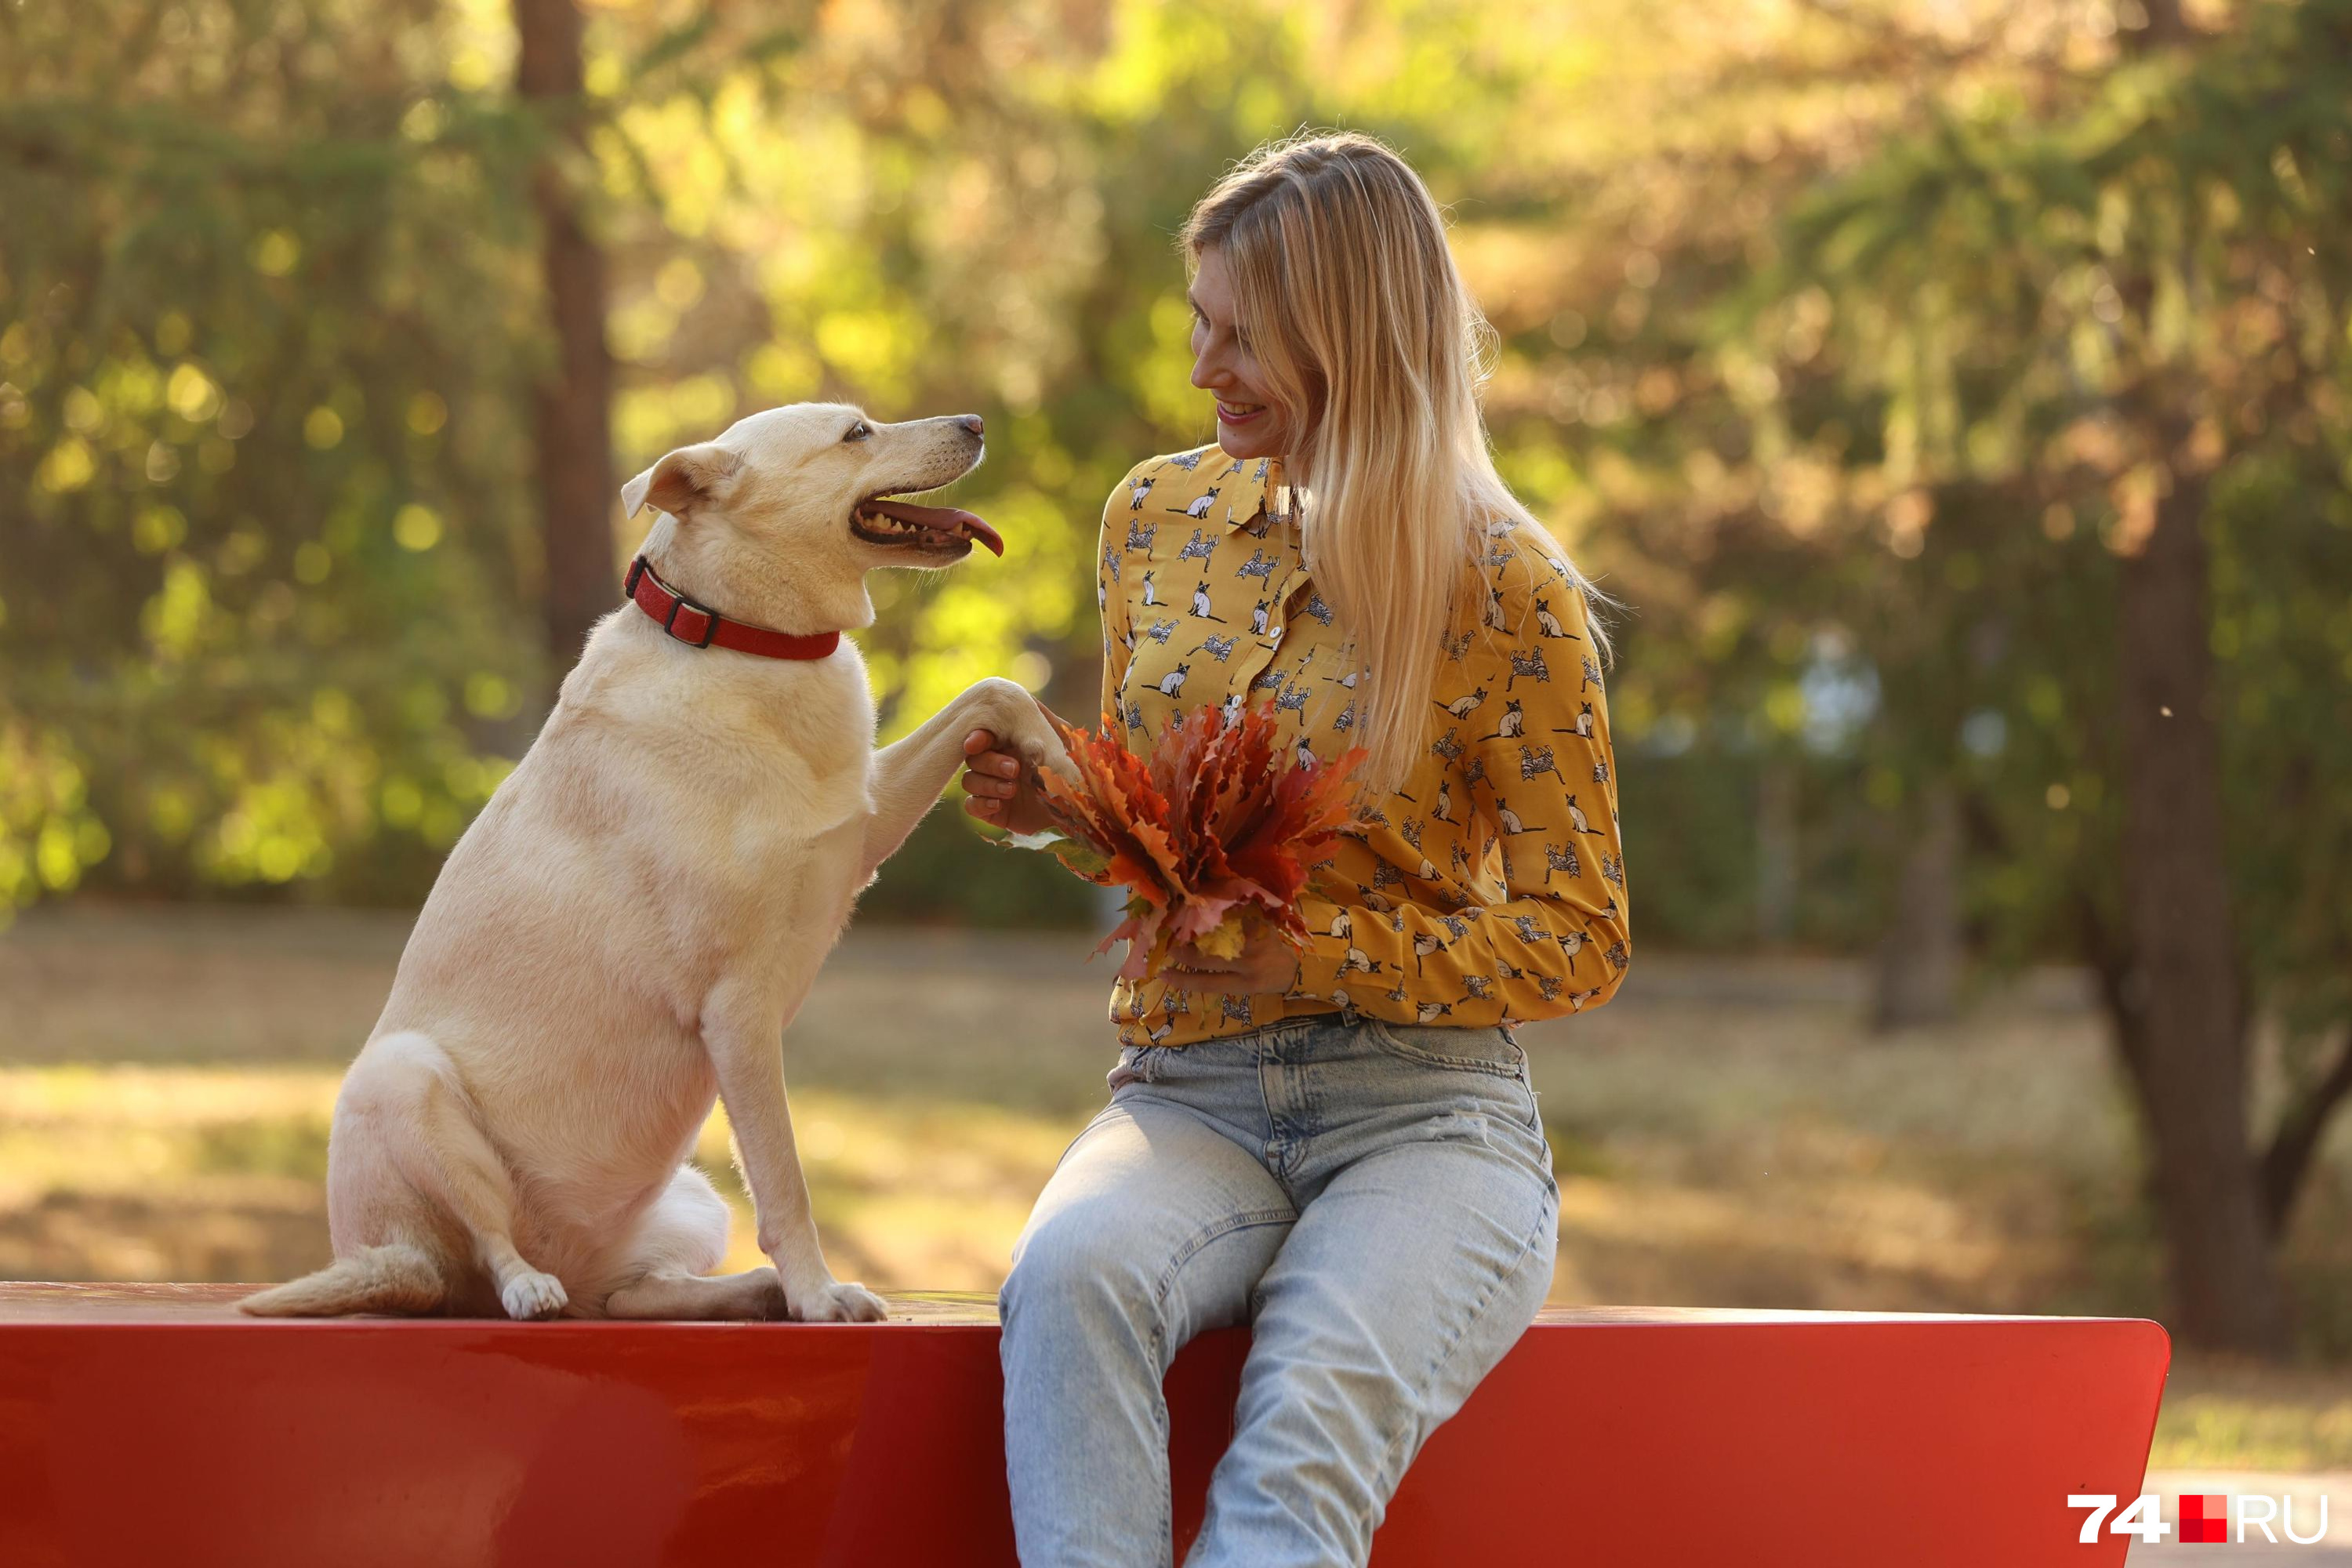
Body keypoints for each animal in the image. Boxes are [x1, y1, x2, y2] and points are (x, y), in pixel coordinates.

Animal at [243, 404, 1073, 1326]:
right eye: (856, 432)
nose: (976, 419)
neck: (746, 641)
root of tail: (377, 1255)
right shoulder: (738, 1010)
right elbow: (785, 1180)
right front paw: (818, 1295)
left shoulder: (863, 829)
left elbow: (995, 690)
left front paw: (1060, 767)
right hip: (402, 1080)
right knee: (482, 1255)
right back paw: (536, 1286)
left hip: (690, 1202)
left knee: (629, 1297)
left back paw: (745, 1292)